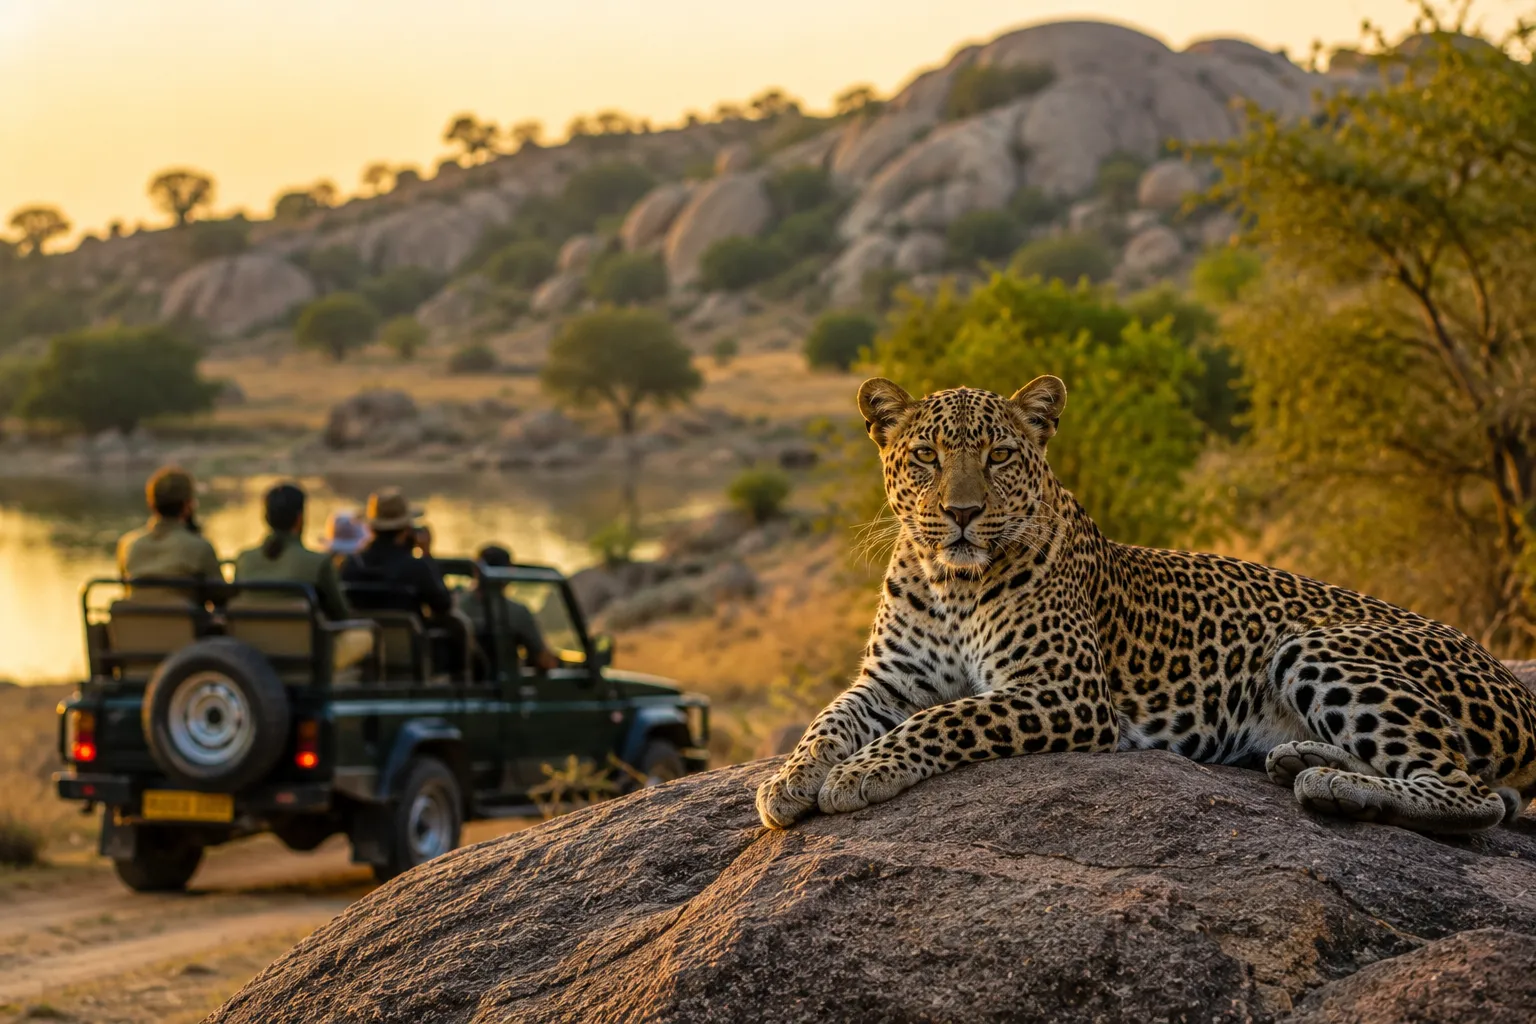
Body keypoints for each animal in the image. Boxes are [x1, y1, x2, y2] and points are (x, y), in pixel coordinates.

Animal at [756, 376, 1536, 834]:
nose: (962, 513)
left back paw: (1334, 786)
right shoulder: (888, 681)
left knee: (1473, 793)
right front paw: (789, 781)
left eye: (1000, 455)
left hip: (1315, 646)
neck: (952, 583)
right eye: (925, 456)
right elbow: (829, 719)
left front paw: (861, 773)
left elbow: (948, 718)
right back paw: (1302, 759)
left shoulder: (1065, 692)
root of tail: (1515, 686)